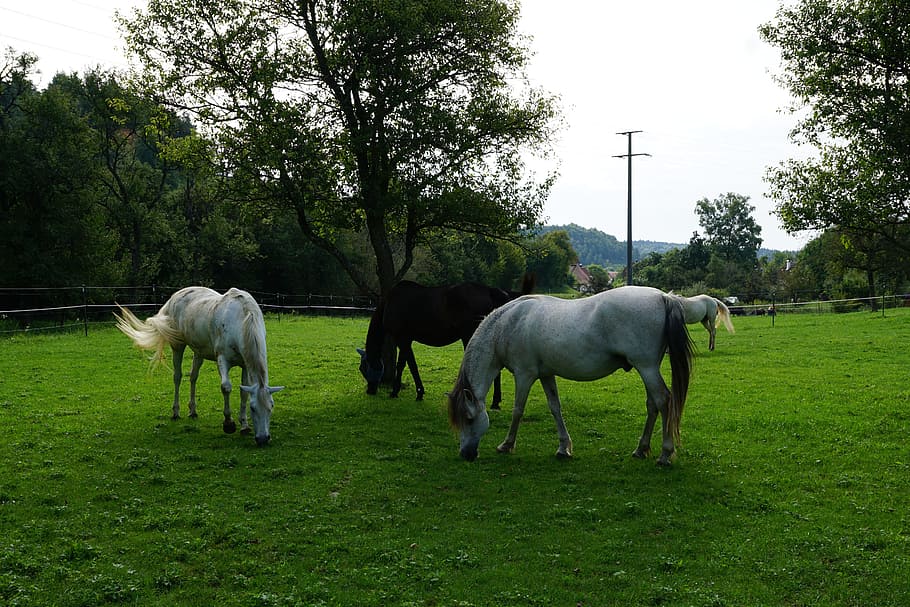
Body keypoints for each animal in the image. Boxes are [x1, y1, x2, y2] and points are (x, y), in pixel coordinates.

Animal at [116, 288, 284, 444]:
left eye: (271, 407)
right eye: (253, 408)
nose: (263, 439)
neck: (242, 318)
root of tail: (174, 297)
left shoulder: (245, 365)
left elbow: (244, 392)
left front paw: (244, 426)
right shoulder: (222, 360)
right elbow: (226, 387)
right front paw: (228, 424)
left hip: (198, 352)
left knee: (193, 377)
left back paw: (193, 411)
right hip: (178, 346)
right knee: (177, 377)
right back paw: (176, 412)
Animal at [360, 276, 536, 408]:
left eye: (363, 368)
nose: (370, 390)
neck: (391, 301)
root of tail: (488, 290)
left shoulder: (401, 338)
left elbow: (402, 364)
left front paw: (394, 391)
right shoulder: (408, 340)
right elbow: (412, 364)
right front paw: (419, 392)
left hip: (469, 335)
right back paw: (495, 401)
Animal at [450, 288, 700, 468]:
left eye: (469, 419)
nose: (465, 454)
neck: (508, 324)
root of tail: (663, 297)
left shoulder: (524, 375)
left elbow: (518, 410)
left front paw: (506, 445)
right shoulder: (546, 375)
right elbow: (555, 408)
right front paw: (564, 448)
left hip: (646, 367)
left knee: (663, 401)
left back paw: (665, 454)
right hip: (648, 368)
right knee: (652, 404)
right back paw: (641, 449)